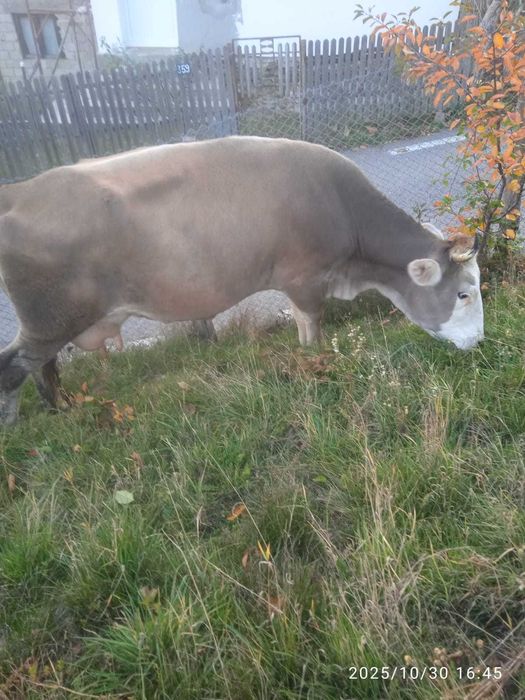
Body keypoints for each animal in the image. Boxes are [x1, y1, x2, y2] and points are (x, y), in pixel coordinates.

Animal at [0, 136, 483, 424]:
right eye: (462, 293)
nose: (480, 341)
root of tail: (22, 190)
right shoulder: (305, 279)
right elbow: (313, 331)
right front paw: (316, 364)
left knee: (41, 367)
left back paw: (61, 407)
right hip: (49, 318)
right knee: (15, 368)